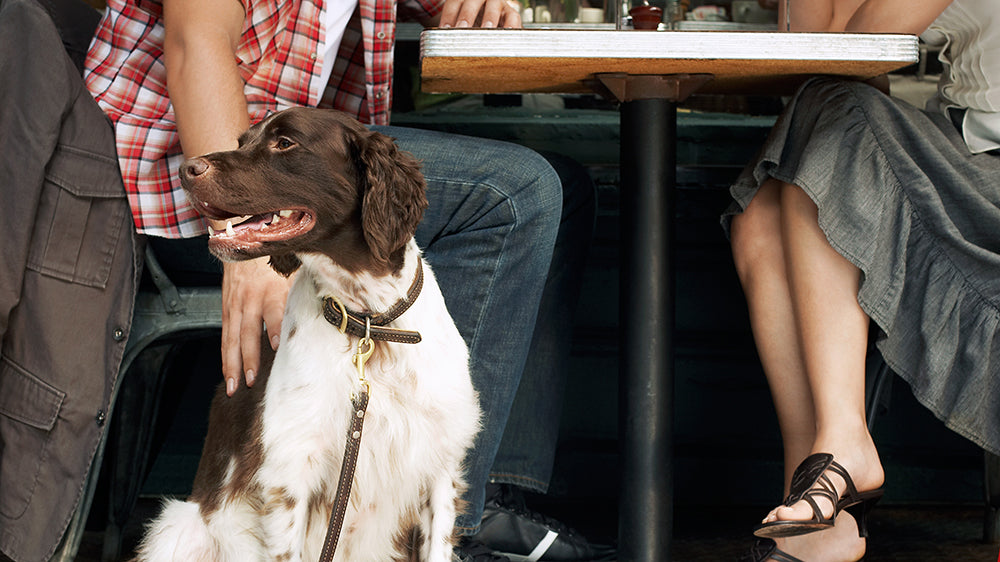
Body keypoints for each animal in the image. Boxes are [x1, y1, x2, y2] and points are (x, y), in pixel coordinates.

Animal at [136, 107, 480, 560]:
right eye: (243, 141)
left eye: (285, 143)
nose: (186, 169)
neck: (370, 324)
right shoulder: (291, 471)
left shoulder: (440, 468)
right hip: (178, 529)